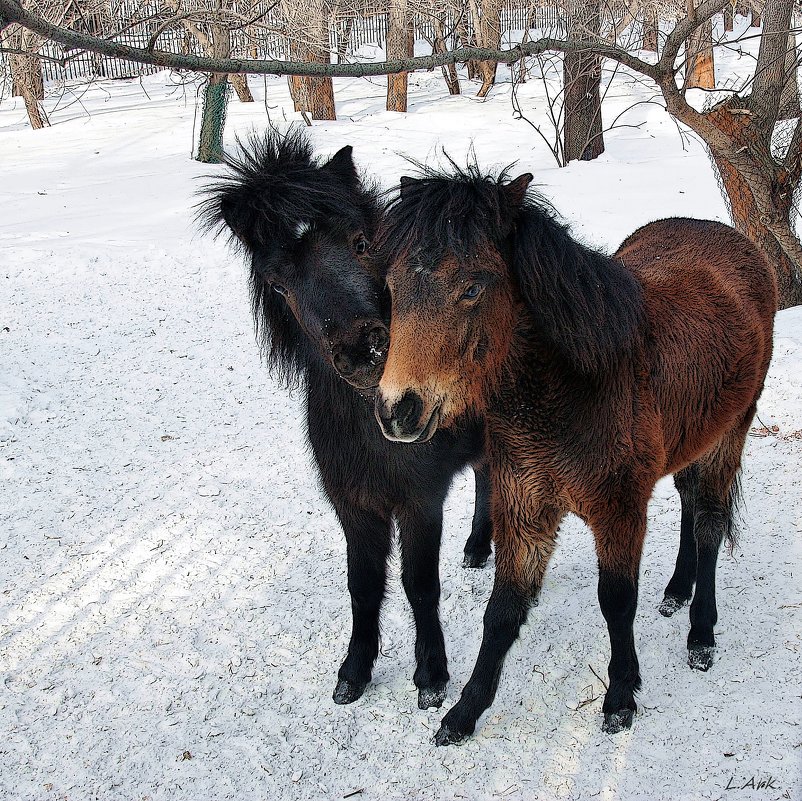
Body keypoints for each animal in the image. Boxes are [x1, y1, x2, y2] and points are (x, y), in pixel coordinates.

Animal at [197, 128, 490, 708]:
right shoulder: (354, 505)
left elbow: (419, 585)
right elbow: (363, 586)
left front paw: (431, 674)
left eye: (361, 242)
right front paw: (354, 670)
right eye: (277, 282)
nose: (362, 351)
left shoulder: (418, 503)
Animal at [376, 162, 776, 744]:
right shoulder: (525, 505)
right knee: (688, 502)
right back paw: (676, 591)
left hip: (730, 436)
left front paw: (621, 697)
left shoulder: (619, 510)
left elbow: (617, 602)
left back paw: (700, 633)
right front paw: (464, 712)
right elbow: (503, 609)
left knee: (708, 524)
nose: (398, 410)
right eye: (392, 286)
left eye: (472, 287)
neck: (573, 387)